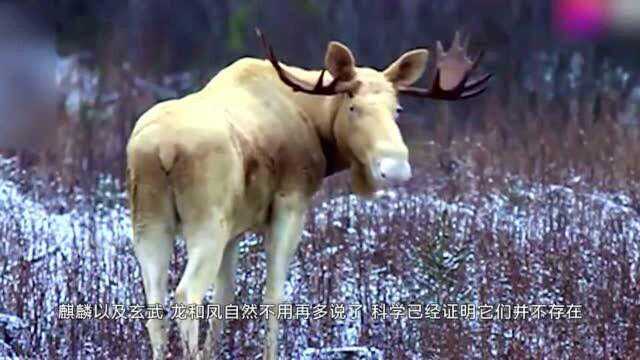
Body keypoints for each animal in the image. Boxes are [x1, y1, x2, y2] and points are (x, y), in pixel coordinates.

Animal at [127, 27, 492, 358]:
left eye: (397, 109)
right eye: (353, 107)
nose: (395, 166)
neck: (317, 125)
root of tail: (163, 149)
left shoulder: (234, 229)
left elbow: (224, 298)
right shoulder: (290, 204)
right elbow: (273, 295)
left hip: (150, 223)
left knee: (154, 304)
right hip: (205, 223)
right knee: (186, 295)